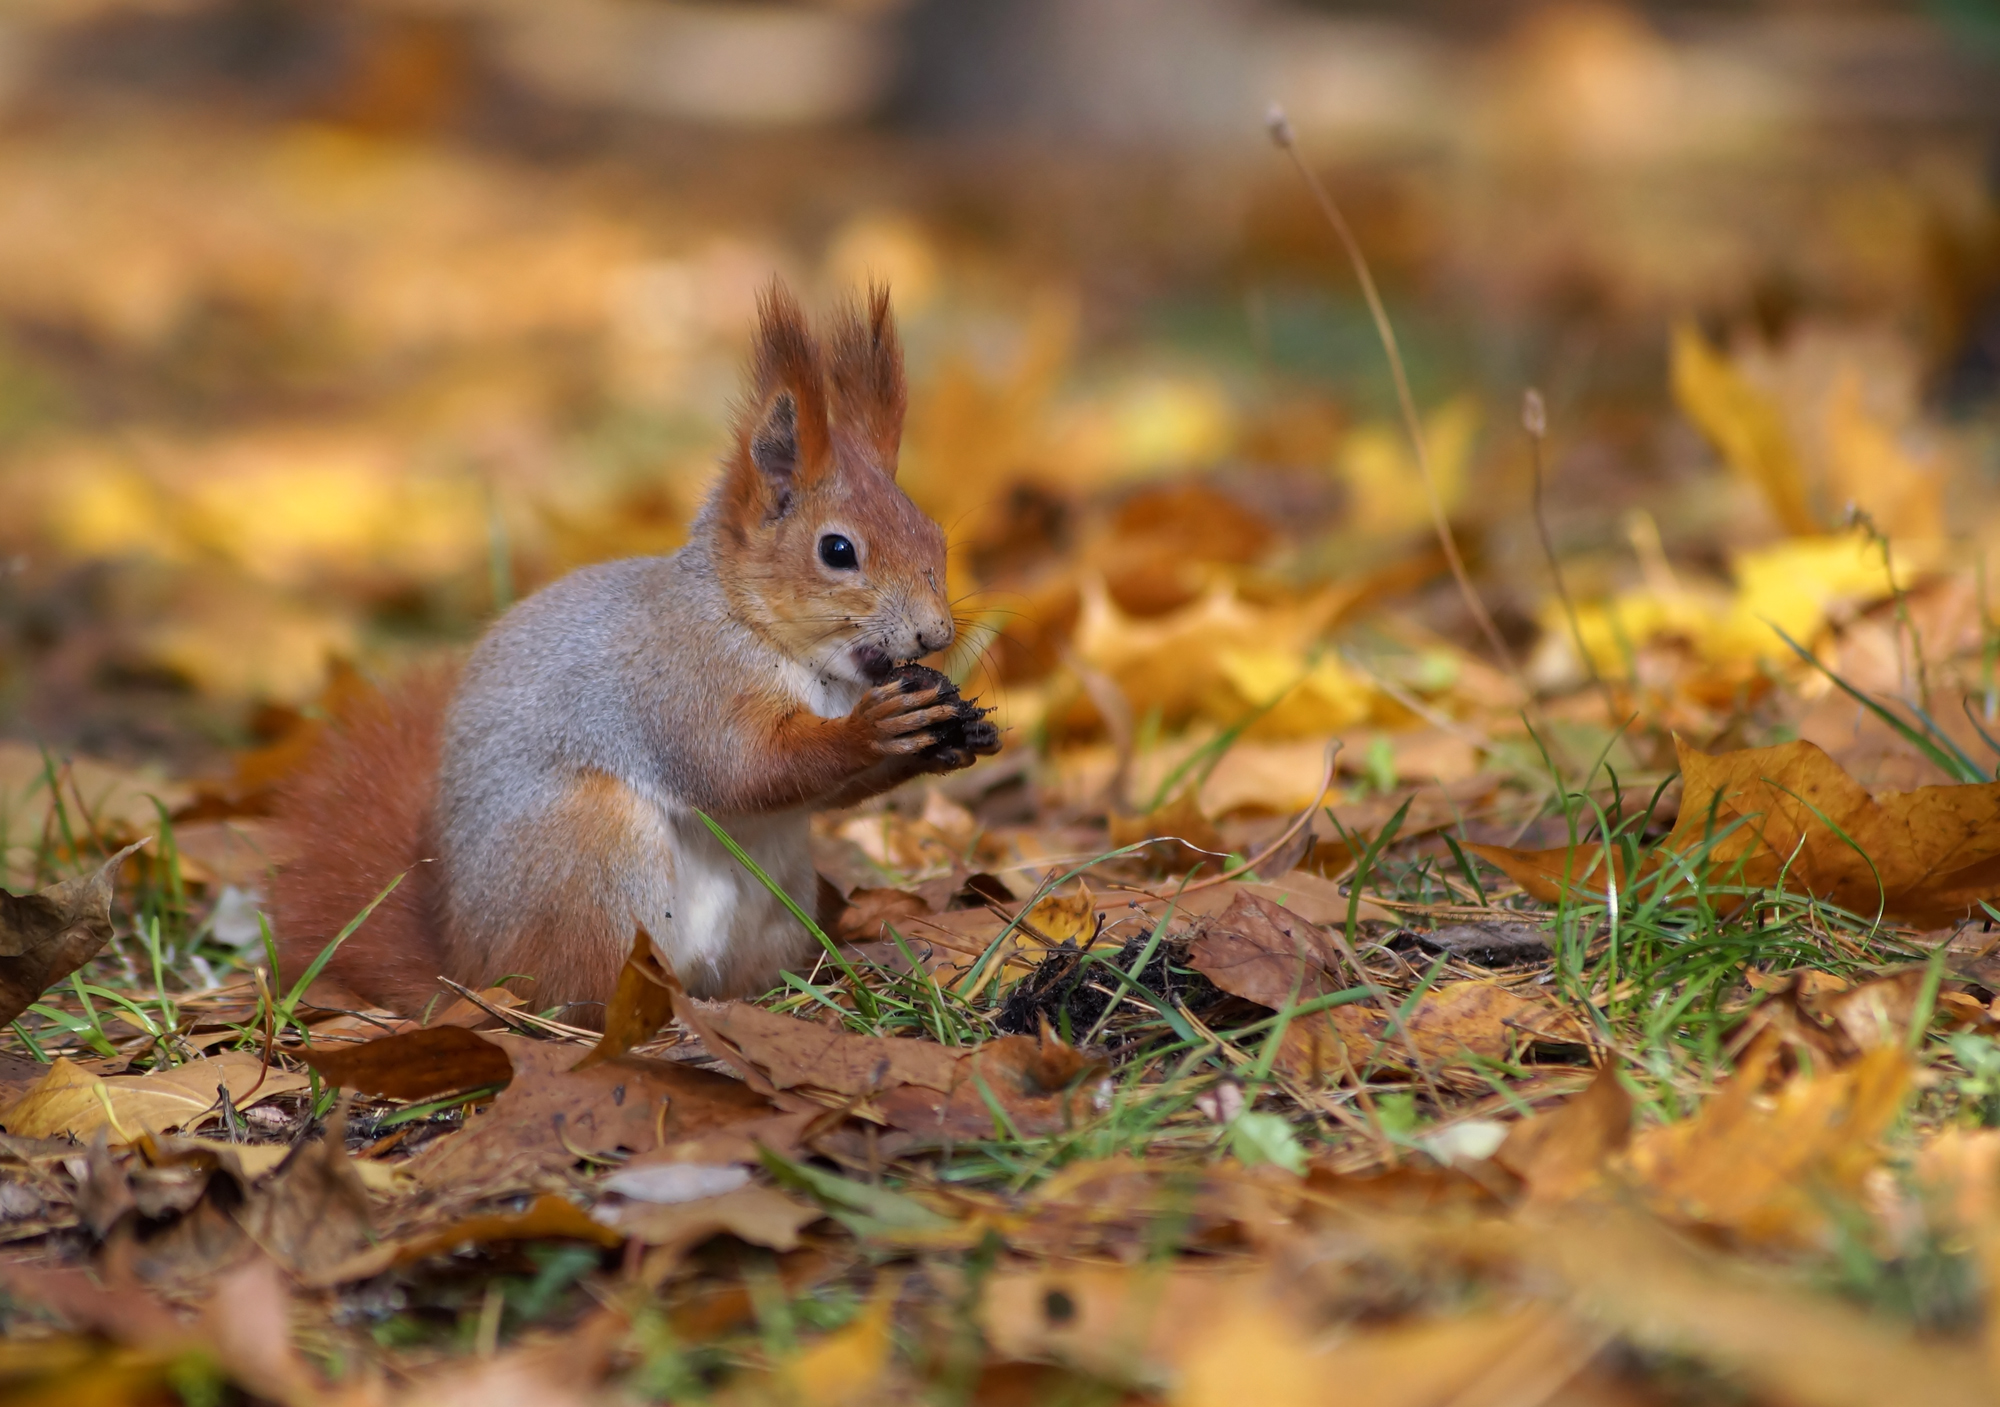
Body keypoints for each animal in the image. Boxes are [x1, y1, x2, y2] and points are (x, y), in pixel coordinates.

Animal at [270, 285, 1000, 1031]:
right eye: (837, 550)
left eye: (933, 533)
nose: (936, 633)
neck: (773, 641)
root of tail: (470, 973)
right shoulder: (681, 681)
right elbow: (741, 769)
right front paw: (872, 728)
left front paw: (957, 733)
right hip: (594, 866)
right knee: (584, 992)